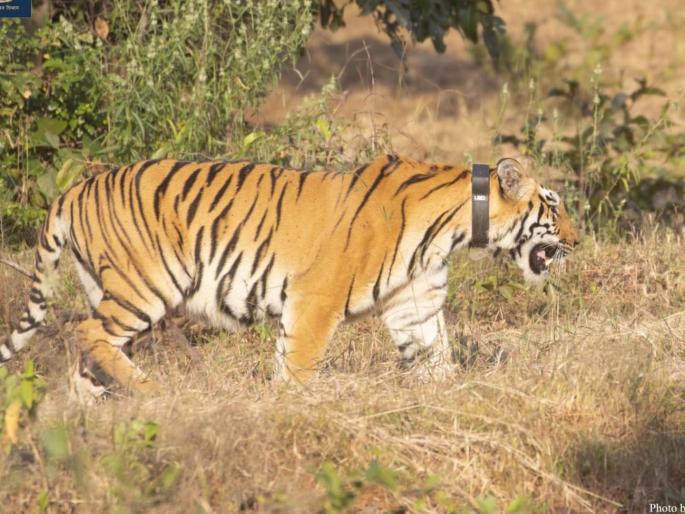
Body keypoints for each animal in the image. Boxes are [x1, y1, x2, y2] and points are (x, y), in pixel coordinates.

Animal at [1, 154, 578, 395]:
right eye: (553, 205)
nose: (578, 240)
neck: (456, 227)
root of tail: (73, 189)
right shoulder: (316, 299)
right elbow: (299, 364)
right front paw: (292, 407)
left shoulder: (415, 305)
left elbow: (437, 357)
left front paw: (457, 399)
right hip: (144, 287)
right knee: (87, 333)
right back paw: (150, 391)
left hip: (111, 289)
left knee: (87, 352)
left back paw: (93, 411)